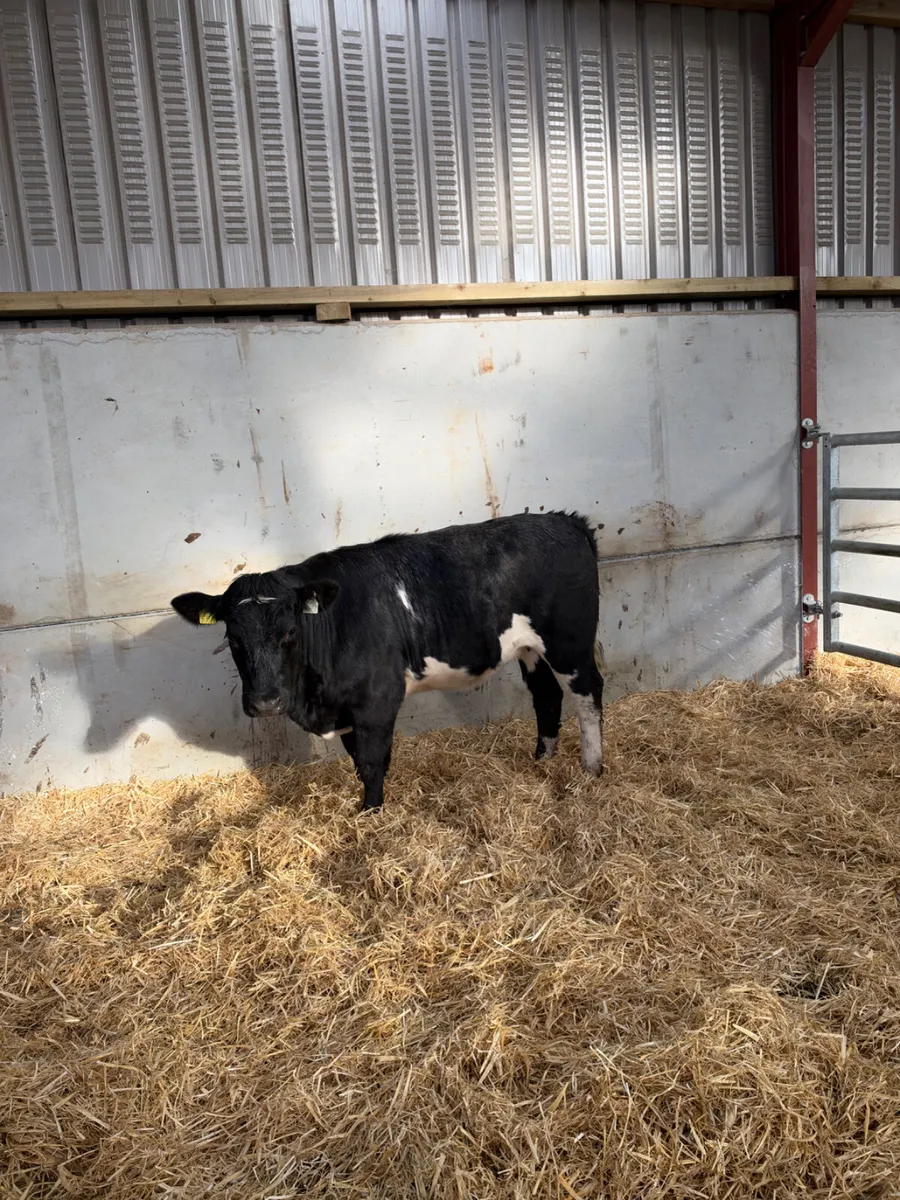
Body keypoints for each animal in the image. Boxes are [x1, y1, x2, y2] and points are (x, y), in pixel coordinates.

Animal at [171, 511, 604, 811]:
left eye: (290, 632)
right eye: (232, 638)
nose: (264, 703)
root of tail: (564, 520)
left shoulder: (377, 700)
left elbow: (373, 760)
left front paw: (371, 813)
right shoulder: (346, 707)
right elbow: (357, 759)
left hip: (570, 642)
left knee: (587, 694)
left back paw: (592, 768)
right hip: (531, 649)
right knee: (546, 695)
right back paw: (542, 760)